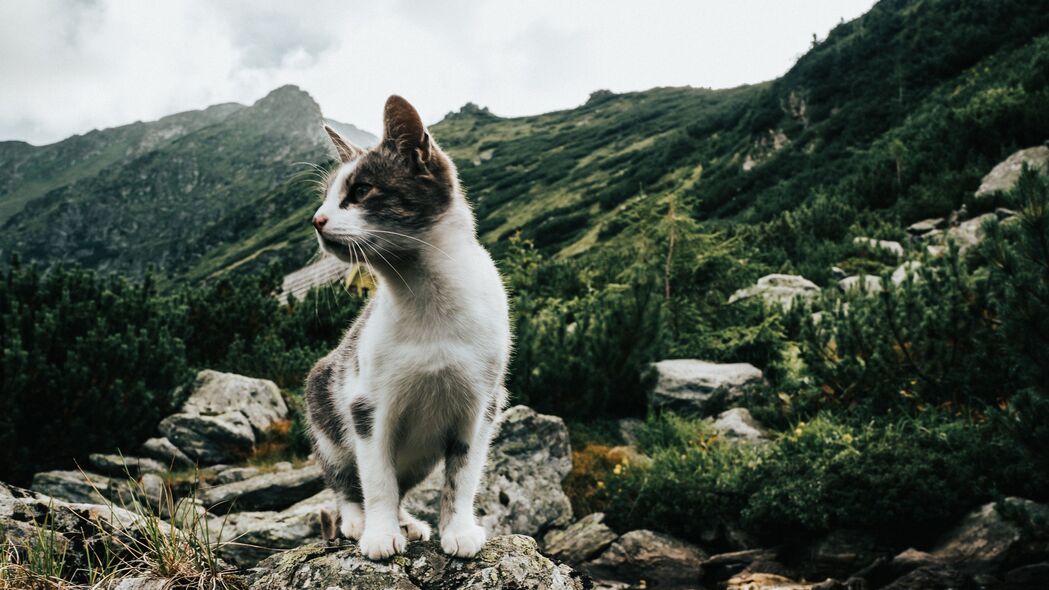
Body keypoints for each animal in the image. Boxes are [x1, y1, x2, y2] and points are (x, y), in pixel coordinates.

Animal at [304, 93, 511, 558]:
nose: (317, 220)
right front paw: (380, 534)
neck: (427, 300)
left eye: (361, 190)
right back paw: (357, 520)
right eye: (326, 198)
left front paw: (458, 529)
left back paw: (408, 521)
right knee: (345, 481)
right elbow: (377, 479)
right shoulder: (366, 405)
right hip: (326, 414)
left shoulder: (483, 405)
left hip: (419, 457)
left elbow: (462, 476)